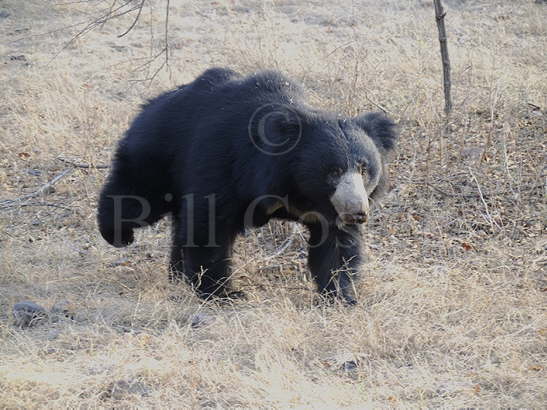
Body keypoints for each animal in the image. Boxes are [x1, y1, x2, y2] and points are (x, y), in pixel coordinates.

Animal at [98, 67, 398, 304]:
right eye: (333, 171)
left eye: (364, 169)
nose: (357, 212)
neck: (296, 189)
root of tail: (153, 102)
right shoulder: (225, 162)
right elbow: (211, 225)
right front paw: (222, 293)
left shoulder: (328, 209)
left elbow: (335, 244)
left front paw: (340, 295)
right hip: (159, 151)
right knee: (137, 195)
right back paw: (118, 235)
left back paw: (177, 274)